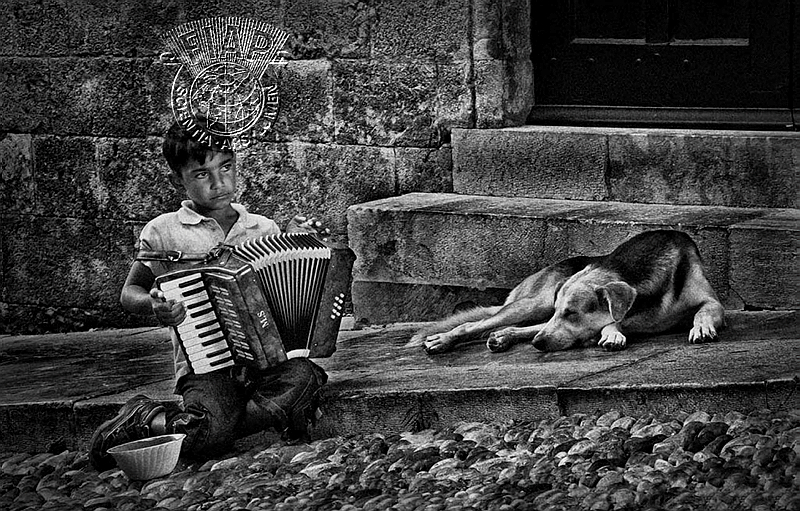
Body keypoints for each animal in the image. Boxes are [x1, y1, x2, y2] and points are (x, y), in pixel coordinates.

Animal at [407, 230, 725, 354]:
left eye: (572, 313)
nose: (537, 345)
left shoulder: (712, 302)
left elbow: (706, 310)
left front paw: (702, 327)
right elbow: (612, 321)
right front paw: (612, 334)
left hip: (539, 313)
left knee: (522, 328)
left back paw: (504, 337)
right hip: (536, 304)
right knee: (476, 324)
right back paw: (443, 340)